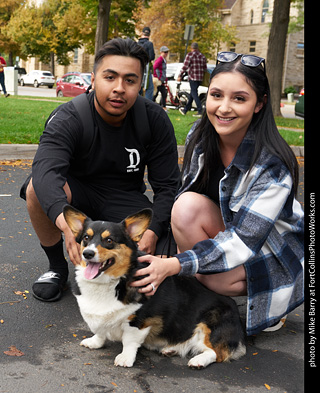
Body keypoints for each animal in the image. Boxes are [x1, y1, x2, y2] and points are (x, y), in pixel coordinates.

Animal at [63, 205, 246, 368]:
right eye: (86, 238)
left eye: (109, 240)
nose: (88, 253)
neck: (110, 282)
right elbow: (100, 332)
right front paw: (94, 342)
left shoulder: (139, 322)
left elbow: (129, 341)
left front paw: (125, 358)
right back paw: (171, 349)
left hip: (210, 323)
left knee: (216, 353)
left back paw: (198, 361)